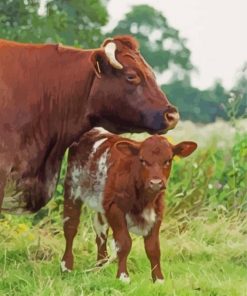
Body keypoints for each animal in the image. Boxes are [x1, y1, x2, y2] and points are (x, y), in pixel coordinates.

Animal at [61, 127, 197, 282]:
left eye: (168, 160)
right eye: (142, 160)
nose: (156, 183)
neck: (144, 200)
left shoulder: (157, 213)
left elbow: (153, 248)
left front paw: (158, 279)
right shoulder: (115, 209)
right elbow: (124, 243)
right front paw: (123, 276)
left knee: (100, 232)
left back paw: (100, 265)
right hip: (72, 190)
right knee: (70, 227)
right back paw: (66, 266)